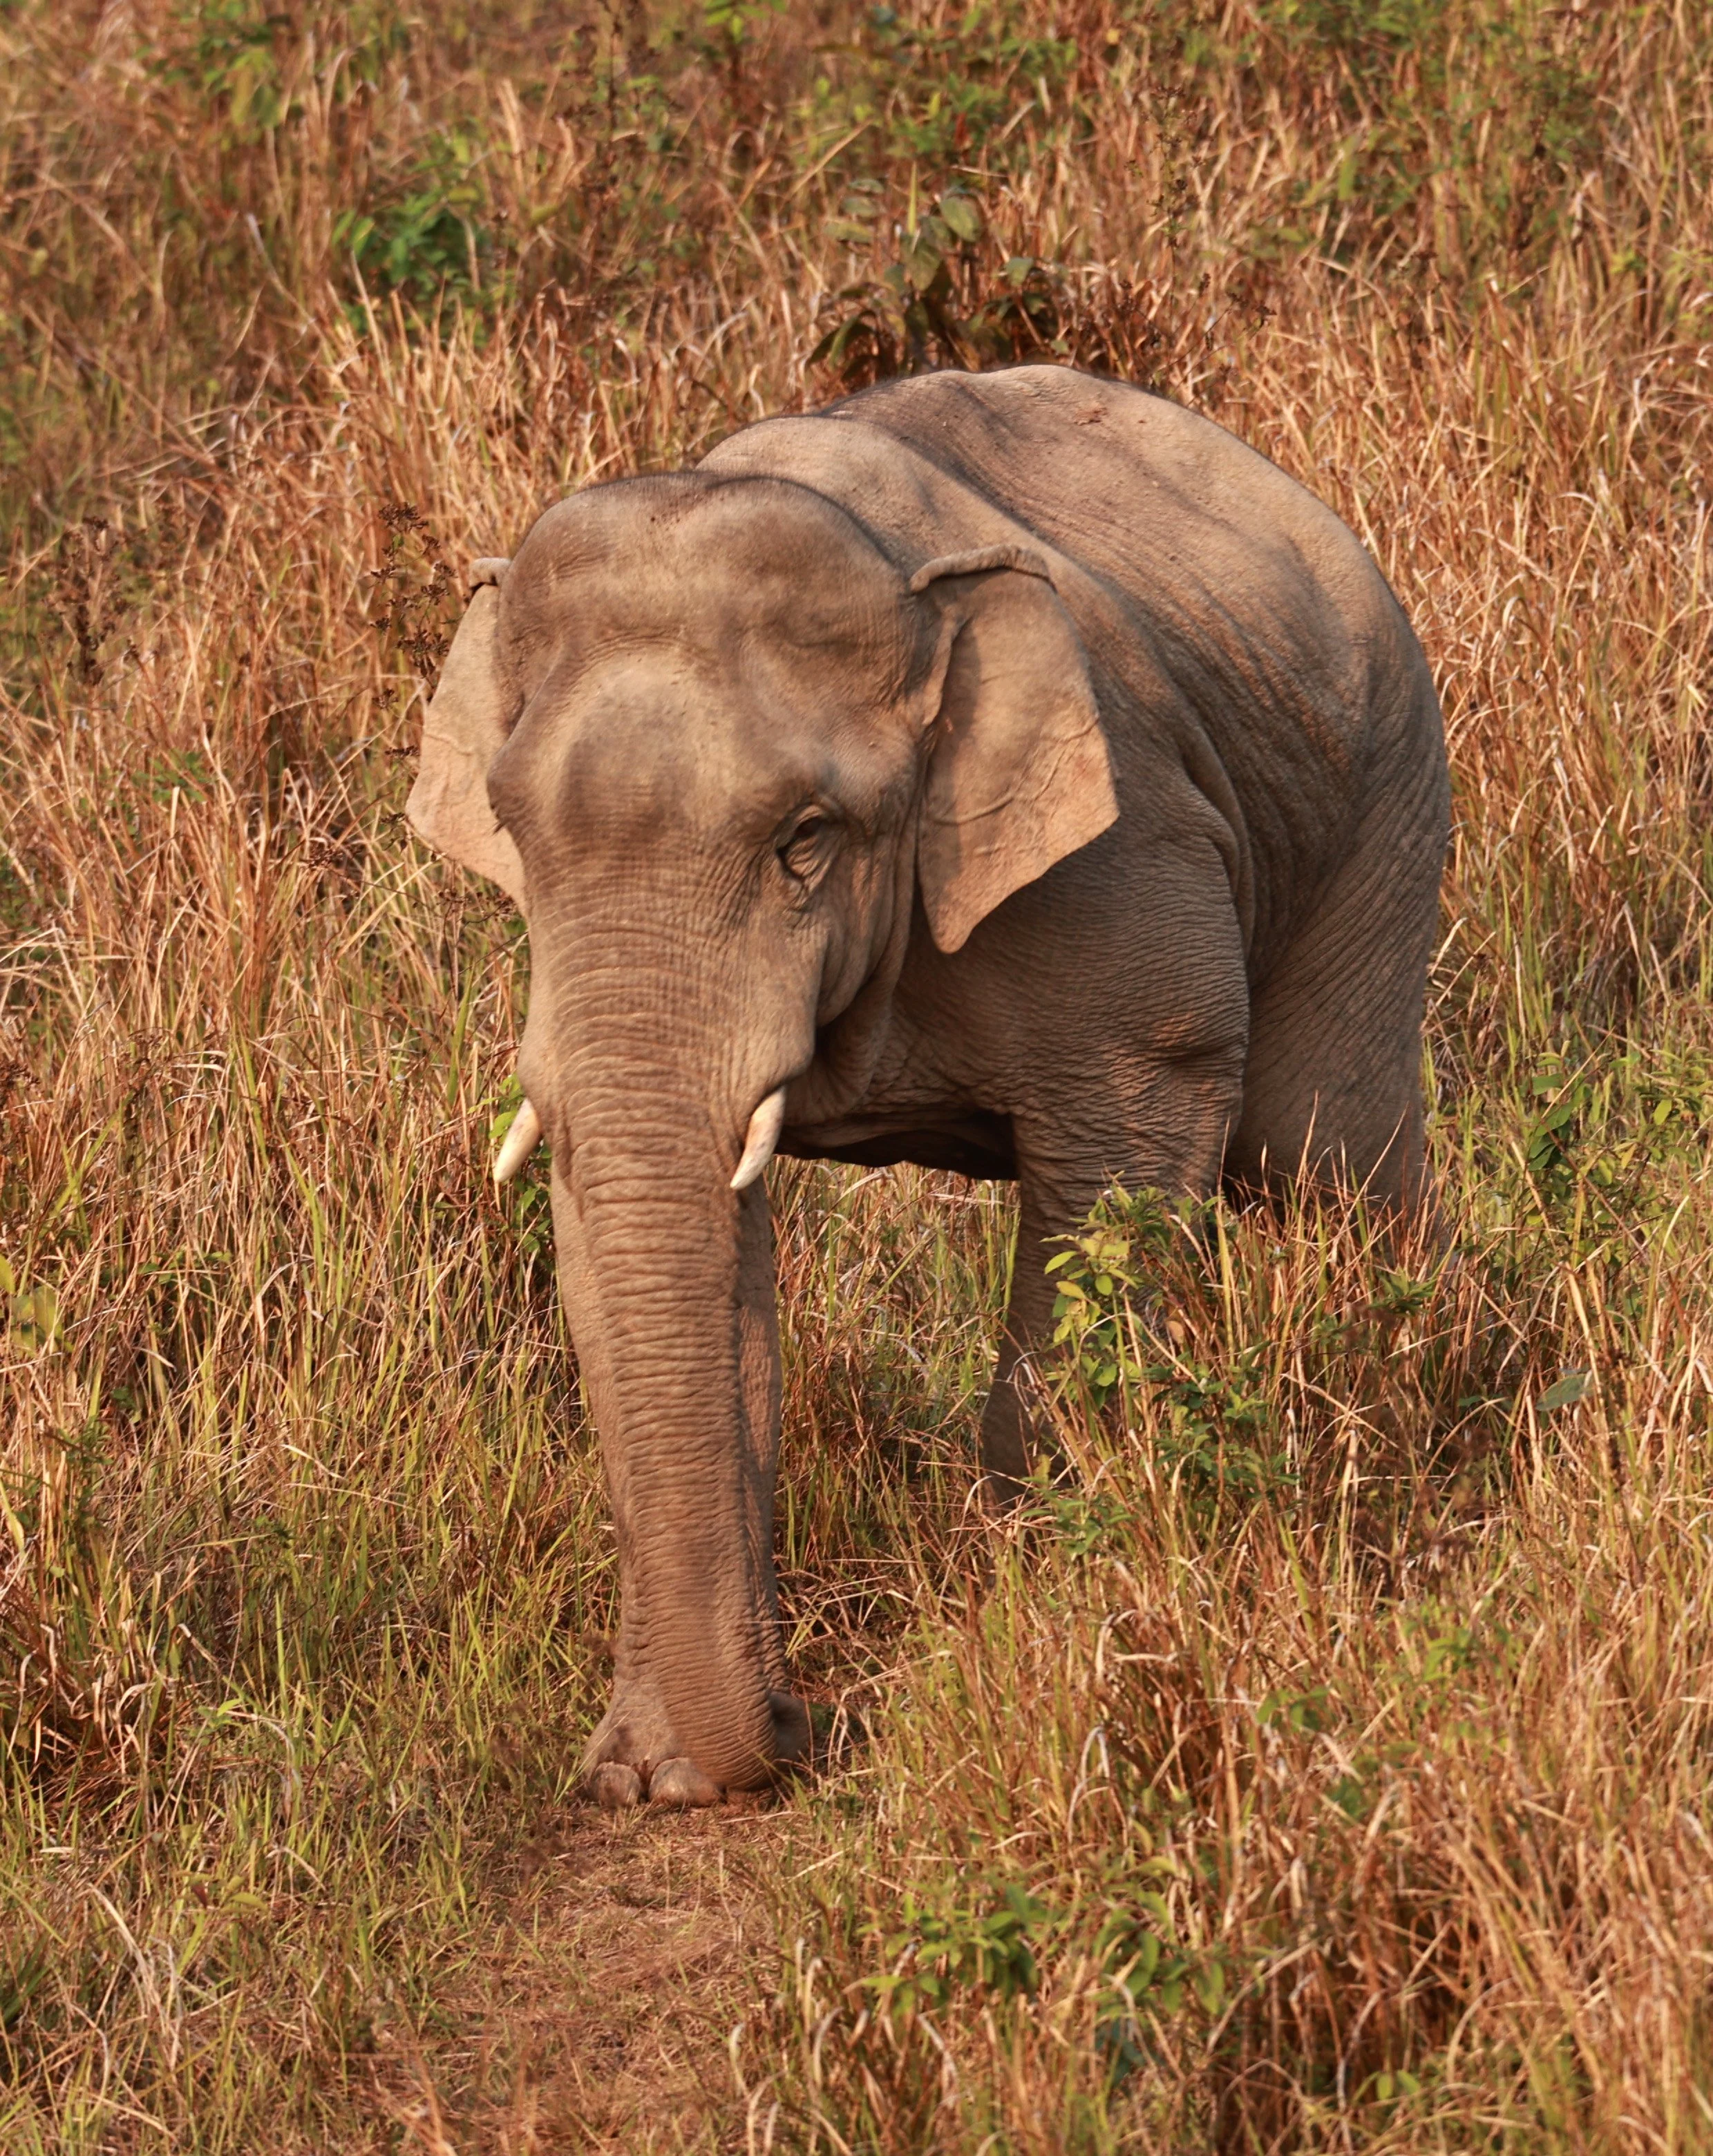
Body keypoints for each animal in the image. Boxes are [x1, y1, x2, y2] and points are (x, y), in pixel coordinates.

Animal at [406, 363, 1449, 1808]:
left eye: (804, 839)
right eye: (511, 828)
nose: (800, 1726)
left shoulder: (1127, 856)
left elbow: (1123, 1159)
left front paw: (1045, 1638)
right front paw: (652, 1777)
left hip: (1383, 797)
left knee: (1317, 1153)